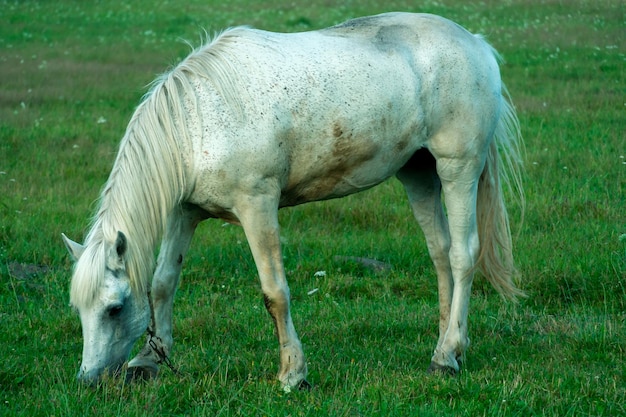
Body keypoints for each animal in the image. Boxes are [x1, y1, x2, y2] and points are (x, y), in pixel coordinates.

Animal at [62, 13, 520, 390]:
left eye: (115, 308)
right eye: (80, 309)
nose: (88, 379)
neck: (198, 122)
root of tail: (476, 43)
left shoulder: (257, 207)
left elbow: (275, 293)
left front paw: (293, 374)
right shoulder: (184, 213)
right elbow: (162, 284)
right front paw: (149, 361)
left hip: (458, 169)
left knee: (463, 256)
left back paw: (448, 356)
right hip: (419, 173)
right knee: (440, 254)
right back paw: (445, 347)